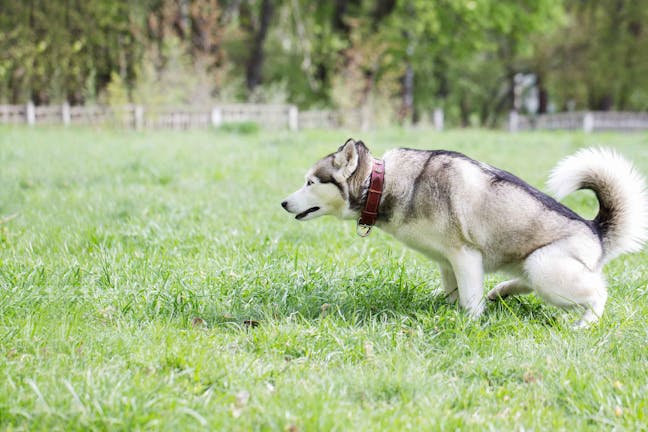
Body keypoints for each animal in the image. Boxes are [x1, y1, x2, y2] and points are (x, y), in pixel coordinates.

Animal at [282, 139, 648, 328]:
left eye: (310, 182)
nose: (283, 202)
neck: (383, 183)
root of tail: (595, 230)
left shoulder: (465, 256)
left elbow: (470, 300)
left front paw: (469, 324)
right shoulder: (446, 262)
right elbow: (451, 292)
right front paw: (445, 308)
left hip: (546, 267)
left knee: (598, 293)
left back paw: (584, 324)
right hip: (532, 265)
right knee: (524, 282)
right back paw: (501, 291)